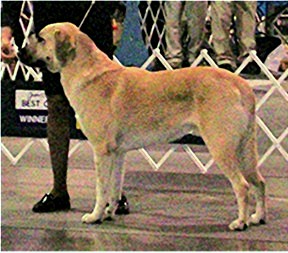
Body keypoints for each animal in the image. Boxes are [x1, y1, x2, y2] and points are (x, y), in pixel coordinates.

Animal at [19, 22, 266, 231]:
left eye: (40, 38)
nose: (19, 52)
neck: (85, 70)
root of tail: (241, 84)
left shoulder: (101, 151)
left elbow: (102, 189)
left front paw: (95, 215)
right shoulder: (118, 153)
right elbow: (115, 188)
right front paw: (109, 213)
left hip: (221, 147)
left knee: (242, 186)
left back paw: (241, 222)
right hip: (245, 150)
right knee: (259, 182)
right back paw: (257, 217)